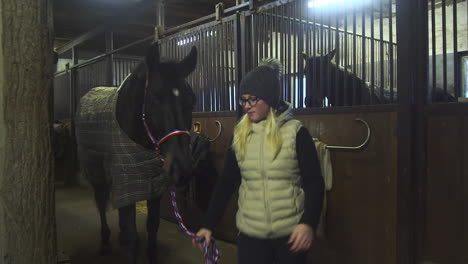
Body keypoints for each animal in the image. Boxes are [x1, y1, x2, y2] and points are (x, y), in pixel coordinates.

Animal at [74, 43, 197, 264]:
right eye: (155, 98)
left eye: (192, 101)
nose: (182, 170)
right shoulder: (128, 181)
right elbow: (132, 234)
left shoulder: (153, 186)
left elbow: (152, 225)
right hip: (96, 173)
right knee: (101, 203)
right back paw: (105, 242)